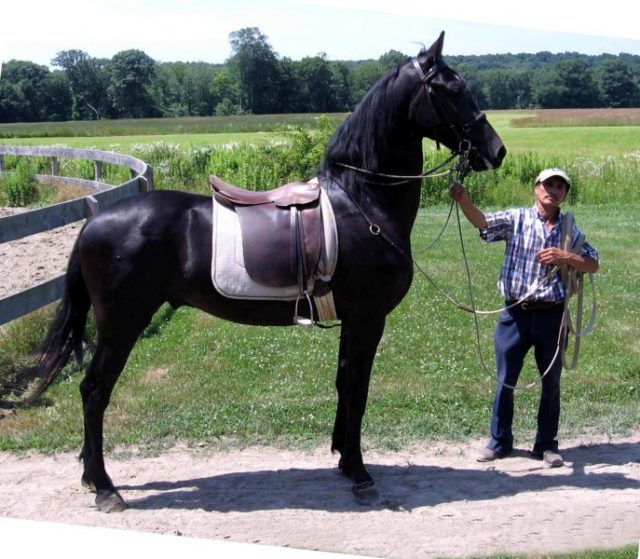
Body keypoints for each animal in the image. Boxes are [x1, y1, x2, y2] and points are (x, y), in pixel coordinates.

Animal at [30, 31, 508, 512]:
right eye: (453, 88)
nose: (496, 150)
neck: (364, 201)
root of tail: (94, 221)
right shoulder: (368, 318)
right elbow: (357, 389)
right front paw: (359, 474)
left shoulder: (352, 321)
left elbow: (343, 384)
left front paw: (342, 459)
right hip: (121, 325)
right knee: (94, 392)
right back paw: (104, 485)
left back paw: (93, 478)